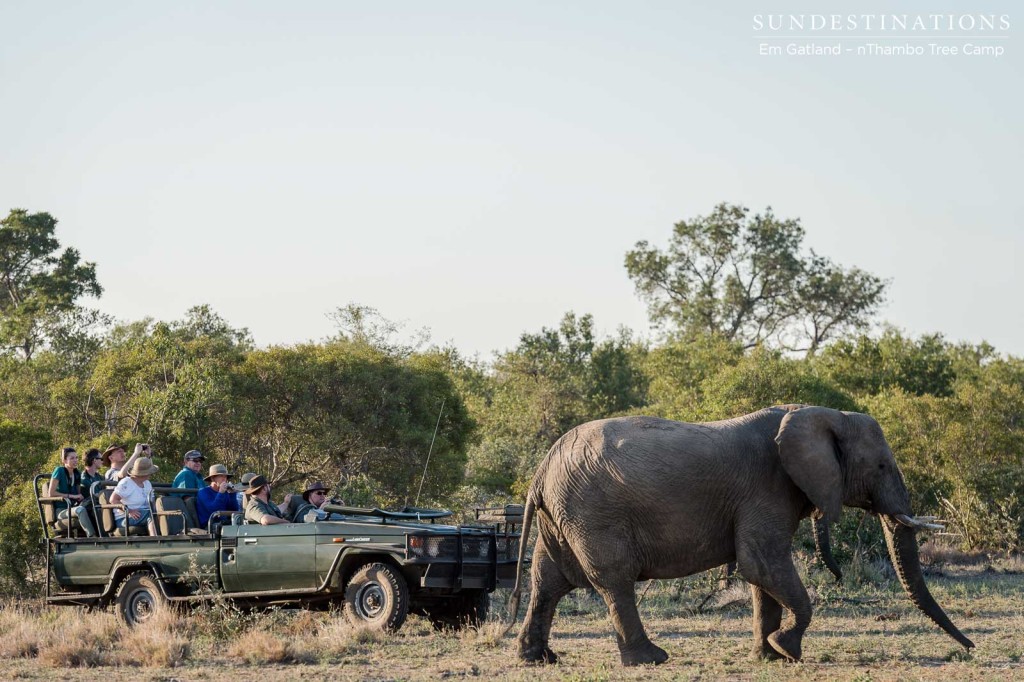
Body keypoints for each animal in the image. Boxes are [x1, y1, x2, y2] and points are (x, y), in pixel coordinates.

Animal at [507, 403, 970, 663]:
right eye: (881, 466)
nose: (969, 649)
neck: (819, 413)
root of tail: (540, 473)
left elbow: (761, 576)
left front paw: (769, 656)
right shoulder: (767, 486)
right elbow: (760, 562)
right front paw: (787, 649)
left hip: (564, 515)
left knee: (547, 581)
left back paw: (539, 659)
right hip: (594, 513)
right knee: (614, 579)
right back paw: (650, 660)